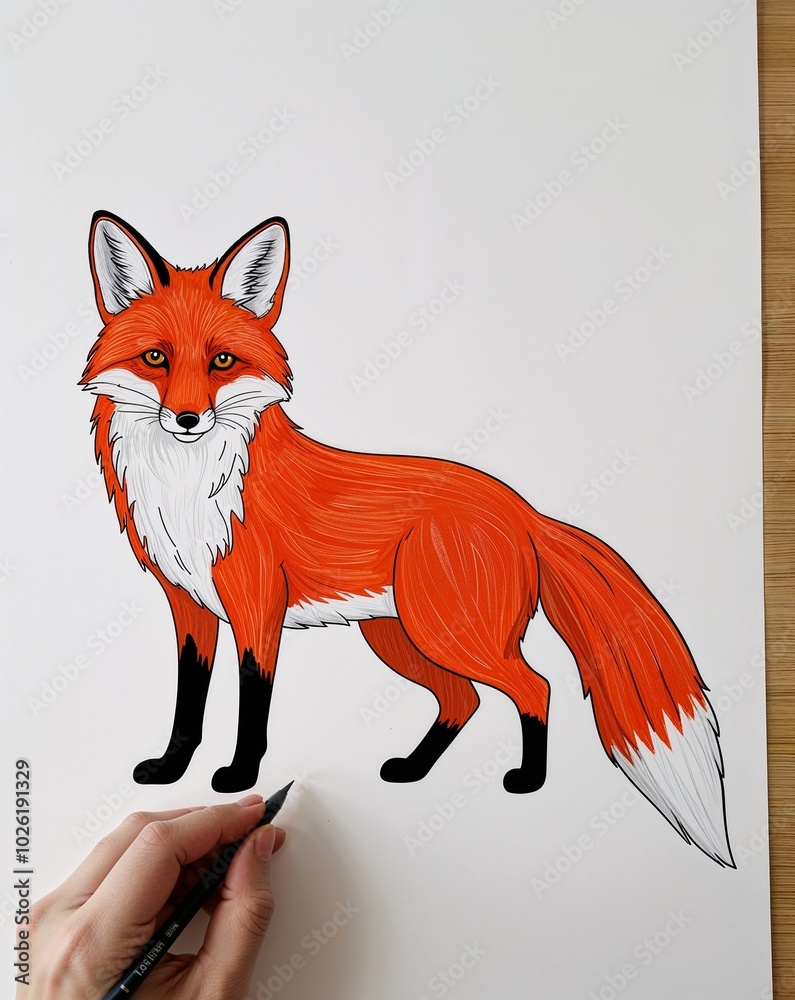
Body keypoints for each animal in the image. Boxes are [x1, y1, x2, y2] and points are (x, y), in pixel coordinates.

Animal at [81, 211, 733, 866]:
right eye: (155, 357)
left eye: (221, 361)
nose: (188, 419)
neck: (188, 487)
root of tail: (523, 508)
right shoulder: (188, 604)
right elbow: (187, 703)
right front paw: (170, 771)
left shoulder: (257, 607)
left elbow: (252, 705)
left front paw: (241, 777)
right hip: (401, 636)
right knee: (463, 701)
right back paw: (413, 770)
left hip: (445, 631)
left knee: (535, 687)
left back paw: (528, 780)